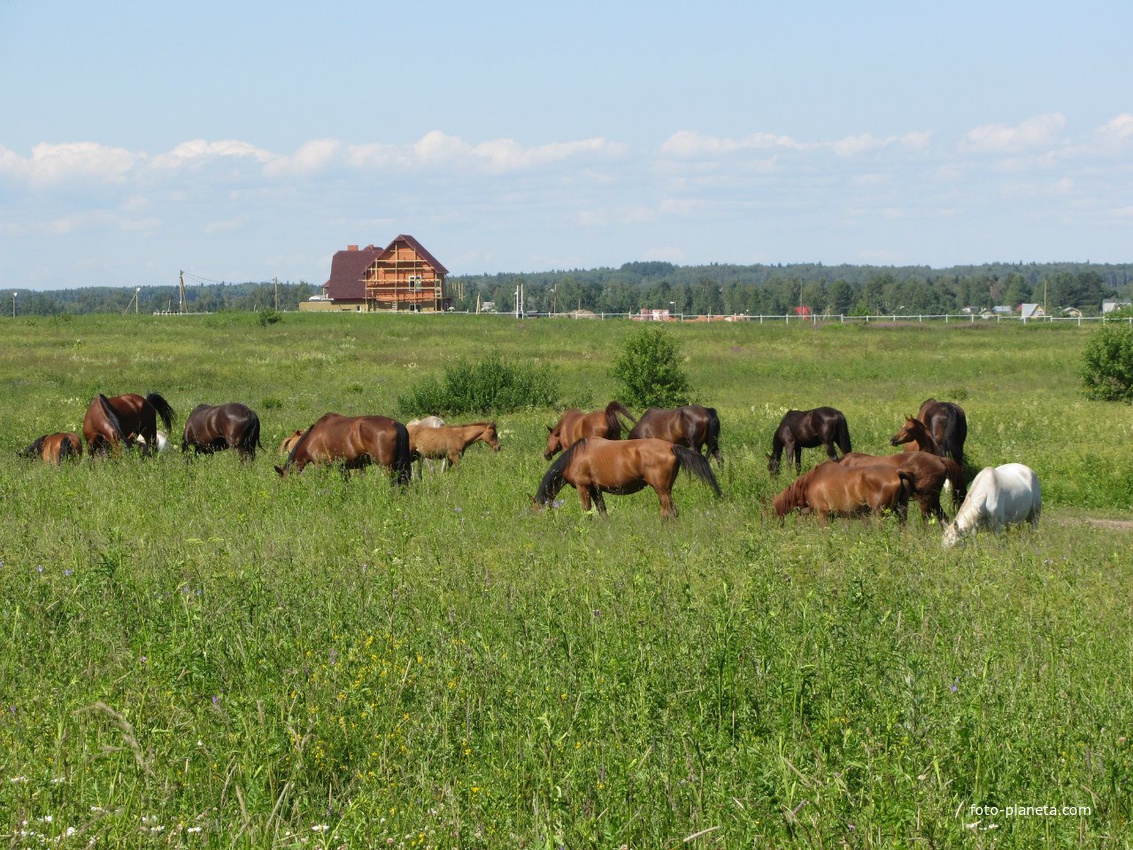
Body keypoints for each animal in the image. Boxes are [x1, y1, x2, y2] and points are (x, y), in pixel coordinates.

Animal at [273, 412, 412, 485]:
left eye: (282, 482)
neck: (311, 438)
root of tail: (396, 424)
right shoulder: (343, 467)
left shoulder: (321, 465)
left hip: (386, 466)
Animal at [532, 439, 725, 519]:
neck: (575, 457)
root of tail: (672, 447)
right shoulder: (596, 490)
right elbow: (603, 512)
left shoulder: (583, 487)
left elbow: (587, 512)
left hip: (662, 490)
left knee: (670, 512)